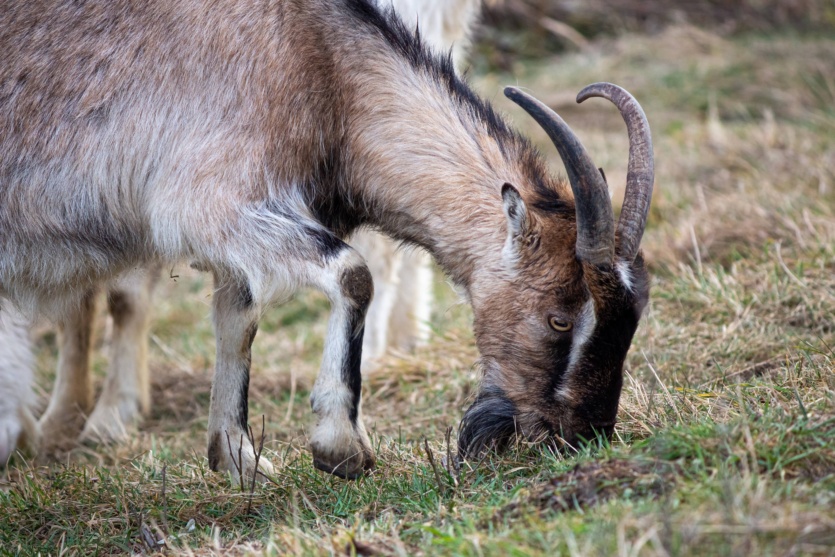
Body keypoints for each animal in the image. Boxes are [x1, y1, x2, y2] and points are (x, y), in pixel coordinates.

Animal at [0, 0, 654, 479]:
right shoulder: (216, 200)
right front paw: (341, 448)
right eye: (559, 318)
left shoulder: (242, 232)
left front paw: (239, 461)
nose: (581, 436)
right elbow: (352, 273)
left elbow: (237, 319)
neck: (321, 64)